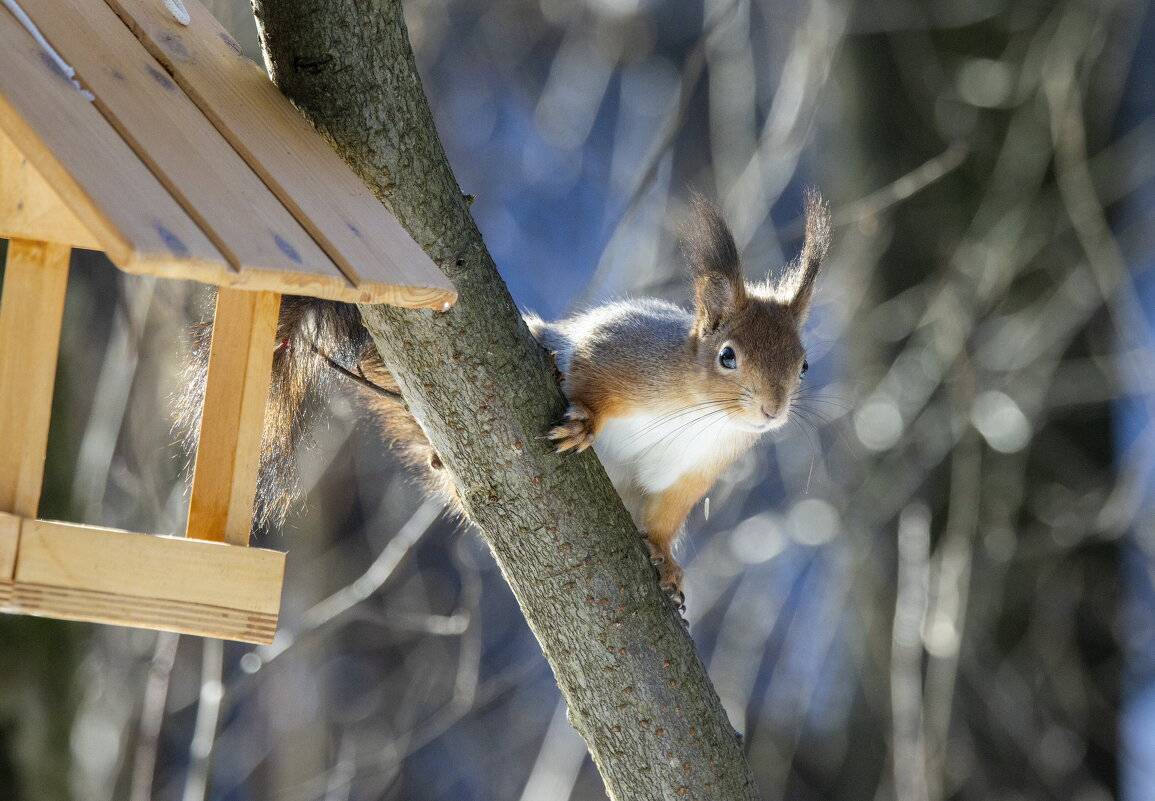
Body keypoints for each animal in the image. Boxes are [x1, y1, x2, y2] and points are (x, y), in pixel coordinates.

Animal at [175, 191, 831, 614]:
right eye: (727, 356)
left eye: (803, 364)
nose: (772, 411)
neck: (700, 416)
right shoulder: (621, 353)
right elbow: (590, 372)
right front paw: (584, 422)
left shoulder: (691, 473)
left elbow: (665, 521)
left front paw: (667, 563)